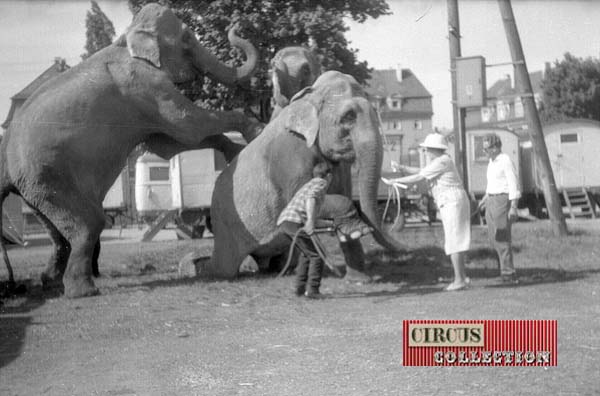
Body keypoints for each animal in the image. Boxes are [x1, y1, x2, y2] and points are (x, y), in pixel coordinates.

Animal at [0, 3, 260, 296]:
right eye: (187, 38)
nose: (237, 26)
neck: (128, 38)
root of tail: (5, 152)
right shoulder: (146, 85)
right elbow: (188, 126)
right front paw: (256, 130)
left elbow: (170, 142)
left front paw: (235, 150)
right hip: (48, 174)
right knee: (90, 222)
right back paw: (83, 290)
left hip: (34, 187)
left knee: (56, 230)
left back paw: (51, 282)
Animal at [209, 72, 400, 282]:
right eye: (348, 116)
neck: (309, 95)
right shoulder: (289, 158)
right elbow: (302, 198)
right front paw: (357, 231)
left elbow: (343, 194)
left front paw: (359, 280)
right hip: (224, 226)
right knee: (224, 266)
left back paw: (280, 270)